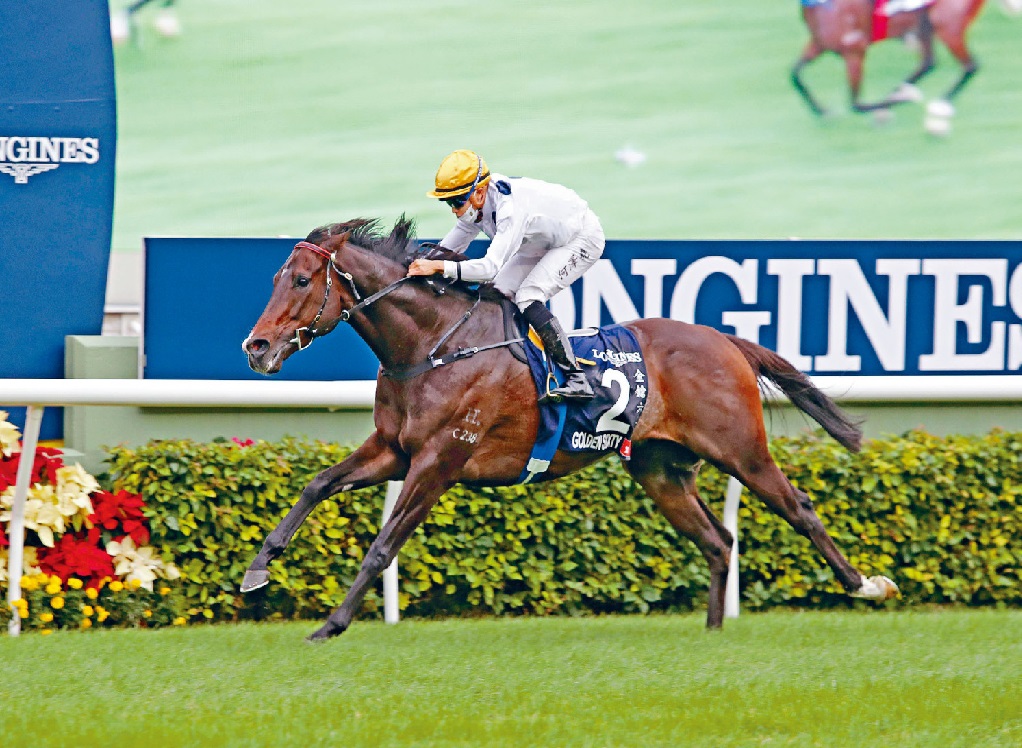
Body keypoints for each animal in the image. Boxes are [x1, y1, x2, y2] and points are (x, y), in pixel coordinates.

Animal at [240, 217, 899, 642]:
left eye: (302, 281)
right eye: (274, 277)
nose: (257, 347)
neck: (433, 345)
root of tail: (724, 339)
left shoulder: (439, 461)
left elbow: (382, 545)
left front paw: (331, 624)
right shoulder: (393, 449)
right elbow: (318, 484)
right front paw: (258, 569)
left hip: (743, 452)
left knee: (800, 508)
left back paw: (866, 586)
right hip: (660, 468)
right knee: (718, 539)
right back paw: (711, 634)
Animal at [792, 0, 987, 123]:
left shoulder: (854, 52)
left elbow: (856, 105)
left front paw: (898, 103)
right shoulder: (819, 44)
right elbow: (795, 75)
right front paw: (821, 111)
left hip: (947, 26)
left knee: (970, 66)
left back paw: (939, 104)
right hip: (926, 23)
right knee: (928, 63)